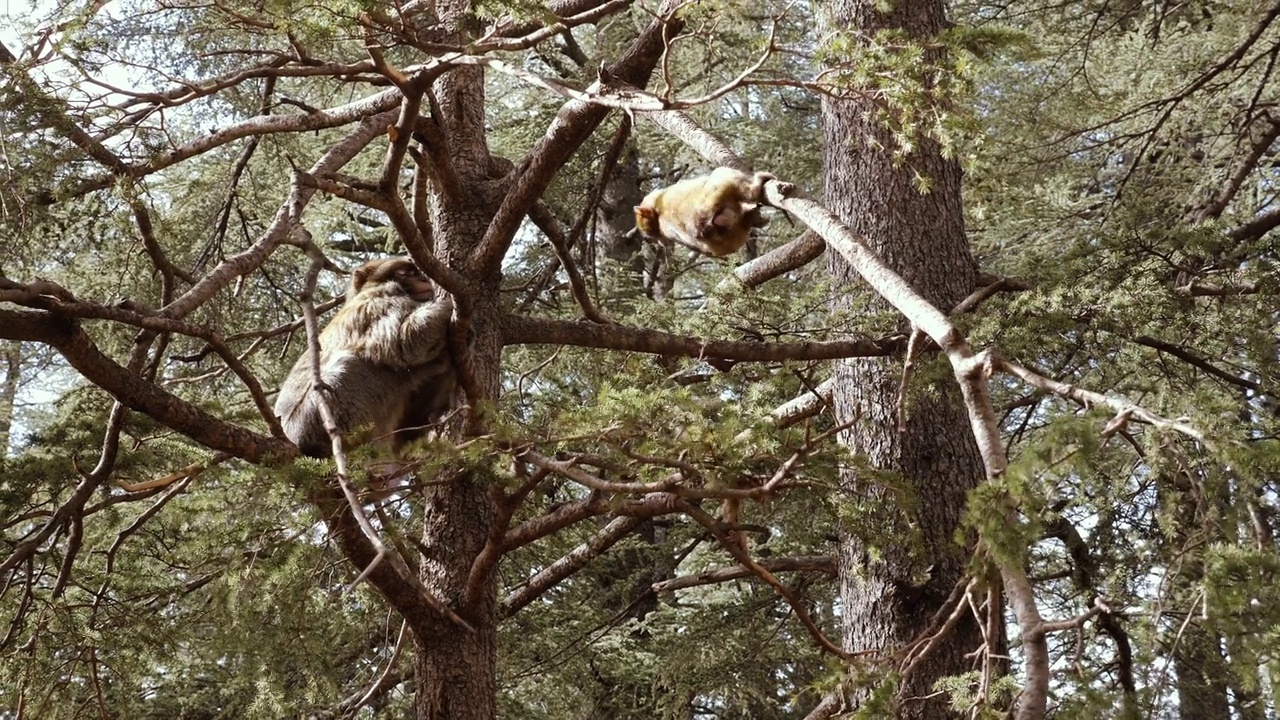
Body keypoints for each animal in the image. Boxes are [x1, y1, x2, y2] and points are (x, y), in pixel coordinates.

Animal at [275, 257, 460, 458]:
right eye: (405, 273)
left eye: (417, 272)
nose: (423, 279)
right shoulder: (380, 299)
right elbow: (406, 341)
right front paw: (450, 302)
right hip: (320, 418)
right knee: (352, 364)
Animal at [634, 166, 783, 256]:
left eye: (654, 237)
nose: (660, 243)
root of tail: (705, 226)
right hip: (717, 191)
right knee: (726, 176)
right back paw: (757, 186)